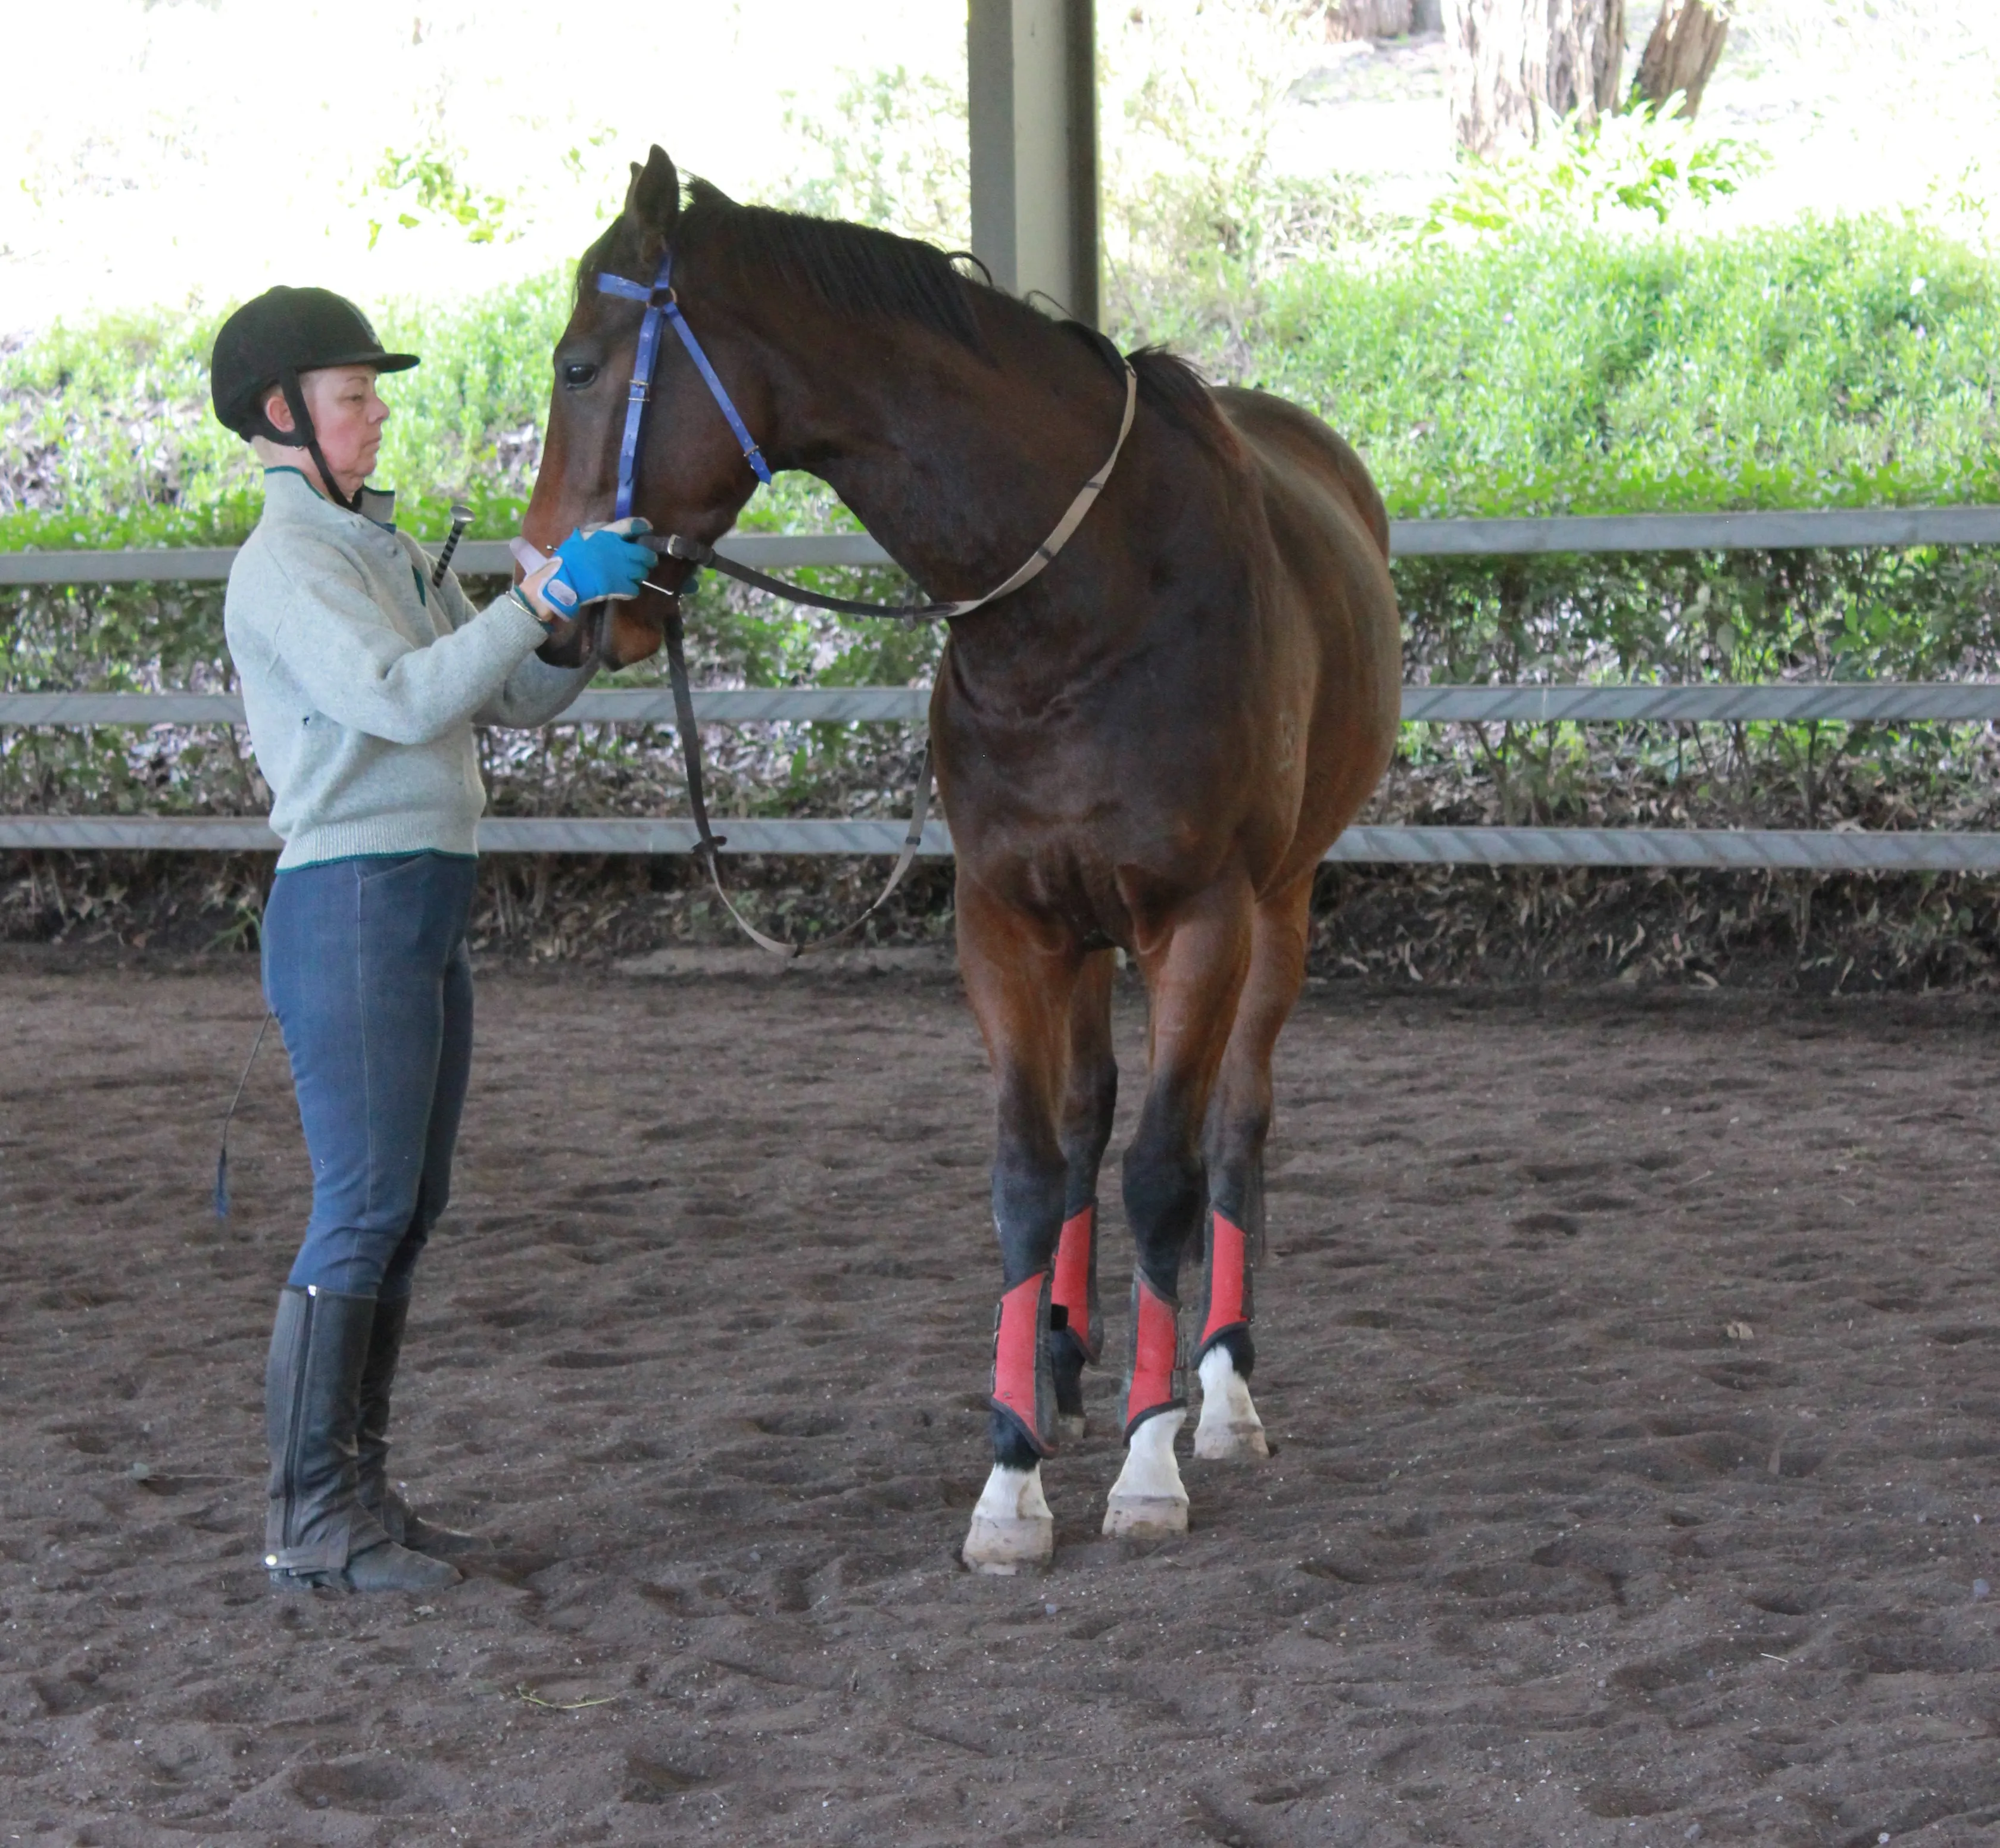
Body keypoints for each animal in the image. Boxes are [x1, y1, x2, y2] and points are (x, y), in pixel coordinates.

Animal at [532, 148, 1408, 1576]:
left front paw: (1150, 1458)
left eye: (578, 366)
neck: (1081, 604)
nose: (558, 615)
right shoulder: (1005, 924)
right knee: (1085, 1116)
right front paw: (1010, 1468)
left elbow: (1162, 1174)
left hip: (1277, 910)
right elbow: (1026, 1175)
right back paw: (1064, 1355)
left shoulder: (1200, 921)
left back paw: (1216, 1386)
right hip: (1083, 934)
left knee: (1230, 1127)